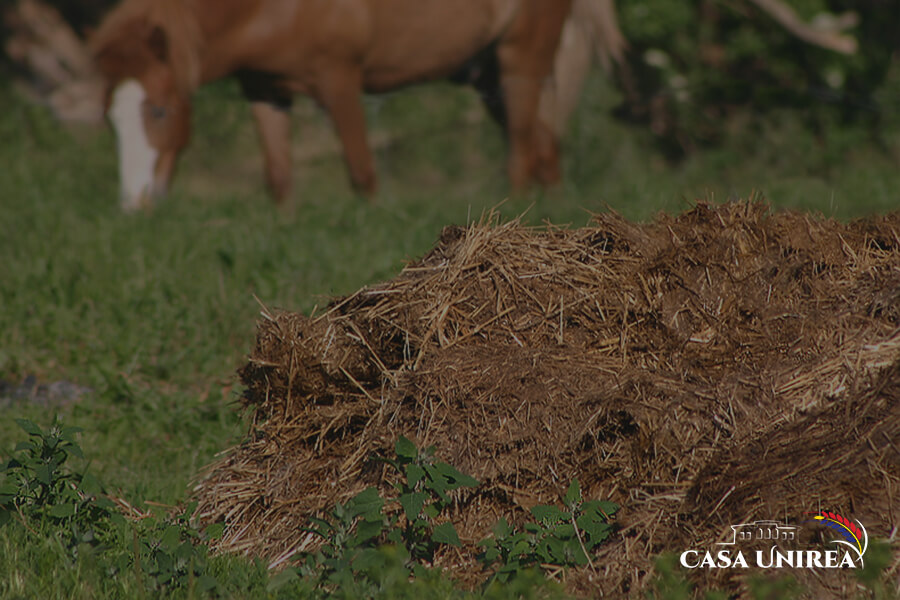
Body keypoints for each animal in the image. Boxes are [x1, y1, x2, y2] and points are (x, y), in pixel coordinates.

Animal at [91, 0, 624, 211]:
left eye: (158, 111)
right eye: (110, 121)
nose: (133, 204)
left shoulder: (340, 78)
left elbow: (362, 172)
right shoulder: (265, 89)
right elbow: (279, 177)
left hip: (521, 59)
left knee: (520, 153)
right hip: (487, 73)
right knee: (545, 148)